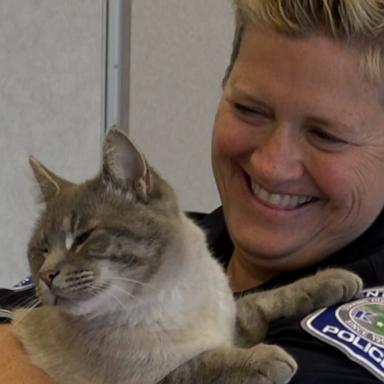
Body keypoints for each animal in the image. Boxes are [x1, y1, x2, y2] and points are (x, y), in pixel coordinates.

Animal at [13, 129, 362, 384]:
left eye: (83, 237)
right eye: (42, 250)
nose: (46, 275)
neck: (172, 295)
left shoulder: (234, 325)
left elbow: (266, 299)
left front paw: (333, 280)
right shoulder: (154, 379)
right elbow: (202, 362)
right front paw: (265, 359)